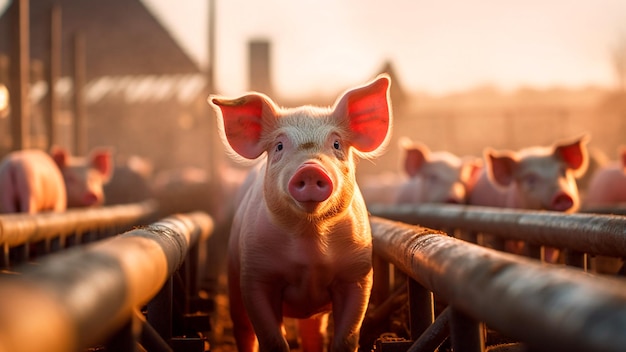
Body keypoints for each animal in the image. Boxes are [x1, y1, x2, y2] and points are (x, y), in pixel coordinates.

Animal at [210, 75, 392, 352]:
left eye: (336, 144)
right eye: (279, 146)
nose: (310, 169)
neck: (310, 244)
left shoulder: (358, 275)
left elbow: (347, 337)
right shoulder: (255, 275)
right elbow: (272, 339)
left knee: (313, 334)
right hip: (232, 273)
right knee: (243, 329)